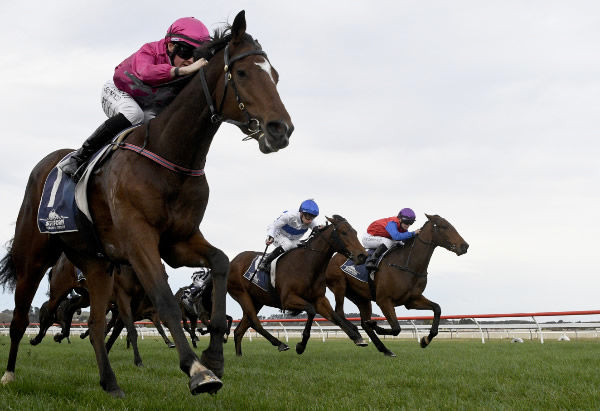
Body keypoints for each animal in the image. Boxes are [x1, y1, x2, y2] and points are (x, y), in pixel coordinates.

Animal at [0, 10, 292, 400]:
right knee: (23, 316)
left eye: (274, 75)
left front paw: (214, 357)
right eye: (243, 73)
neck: (170, 155)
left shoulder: (178, 241)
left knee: (96, 325)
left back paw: (110, 384)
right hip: (33, 255)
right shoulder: (139, 240)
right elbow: (165, 301)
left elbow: (219, 262)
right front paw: (197, 370)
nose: (281, 130)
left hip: (96, 264)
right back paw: (10, 374)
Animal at [227, 216, 368, 358]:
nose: (362, 256)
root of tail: (232, 261)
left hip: (257, 301)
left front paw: (357, 337)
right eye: (343, 232)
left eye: (355, 232)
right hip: (242, 294)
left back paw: (239, 356)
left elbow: (335, 317)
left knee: (240, 330)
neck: (307, 264)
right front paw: (301, 345)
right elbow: (311, 310)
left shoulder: (320, 299)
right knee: (255, 323)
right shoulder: (288, 299)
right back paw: (280, 344)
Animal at [326, 216, 466, 358]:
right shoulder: (384, 300)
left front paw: (425, 340)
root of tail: (331, 258)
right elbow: (396, 328)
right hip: (339, 285)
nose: (465, 246)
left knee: (363, 322)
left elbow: (437, 308)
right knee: (339, 312)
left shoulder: (411, 300)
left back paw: (384, 348)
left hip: (361, 297)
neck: (407, 265)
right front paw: (376, 325)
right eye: (444, 226)